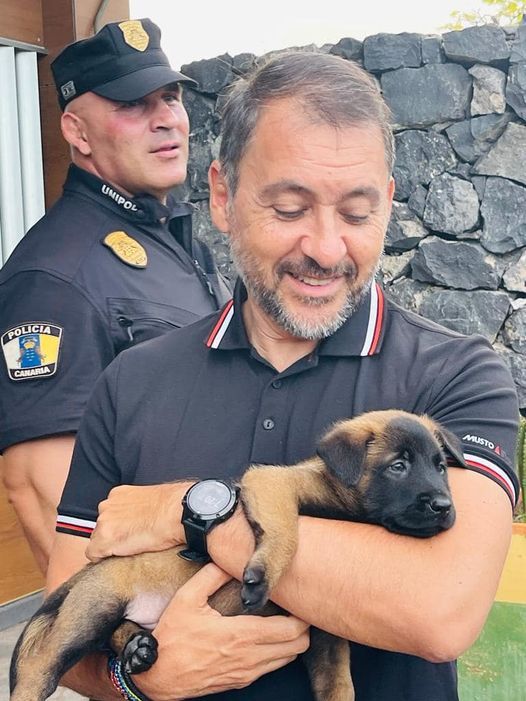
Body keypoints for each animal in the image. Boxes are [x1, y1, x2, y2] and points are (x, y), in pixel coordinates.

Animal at [7, 408, 462, 700]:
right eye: (398, 466)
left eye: (440, 466)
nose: (444, 507)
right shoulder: (274, 483)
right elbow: (286, 530)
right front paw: (263, 575)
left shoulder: (327, 639)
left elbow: (338, 687)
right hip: (94, 607)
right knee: (42, 664)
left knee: (118, 633)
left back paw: (138, 647)